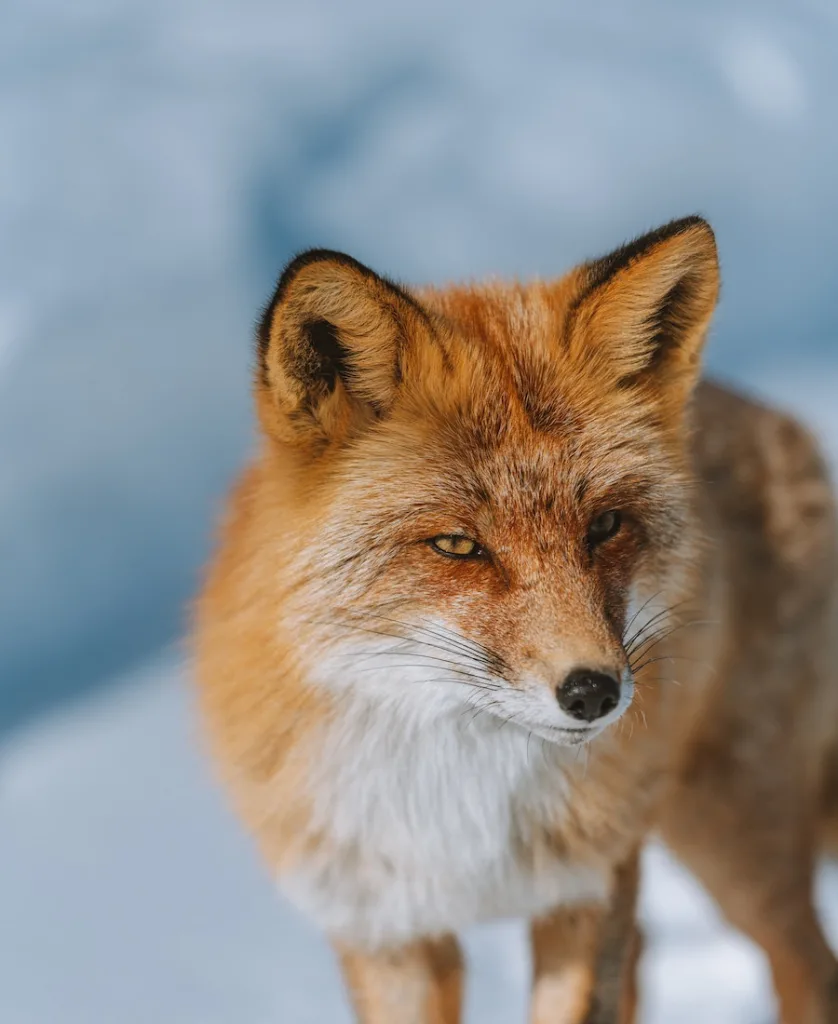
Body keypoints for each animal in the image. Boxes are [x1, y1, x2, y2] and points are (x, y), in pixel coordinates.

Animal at [192, 218, 835, 1024]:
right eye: (458, 546)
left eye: (605, 526)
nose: (594, 692)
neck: (458, 796)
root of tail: (764, 411)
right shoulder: (382, 926)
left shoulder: (586, 887)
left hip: (732, 836)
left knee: (806, 964)